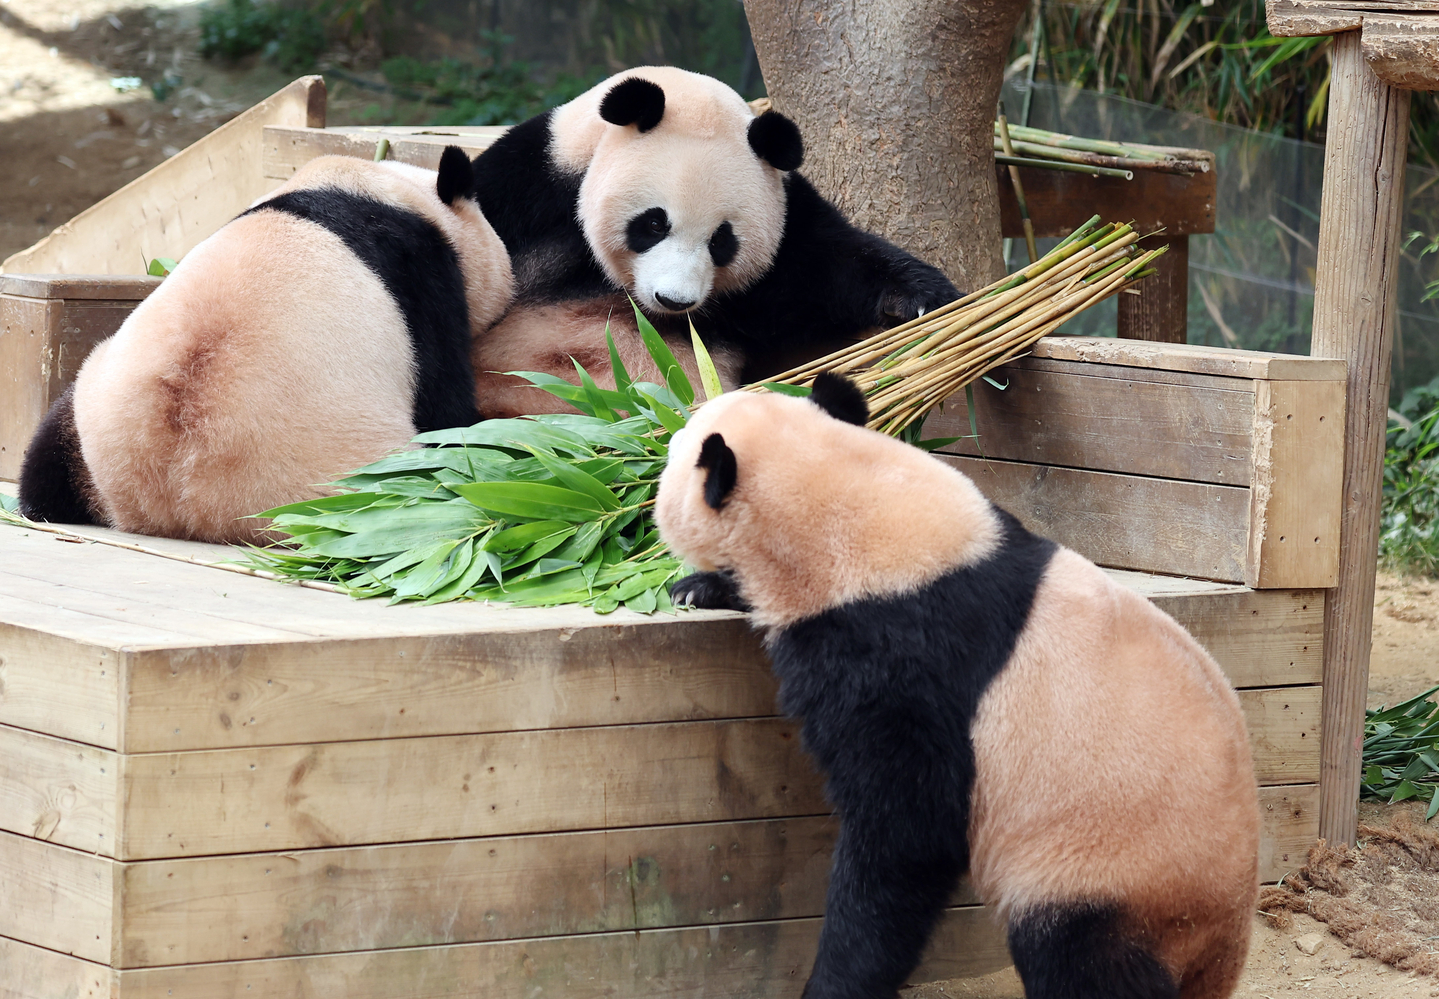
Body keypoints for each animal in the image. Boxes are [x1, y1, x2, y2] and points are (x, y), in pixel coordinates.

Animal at [17, 147, 513, 544]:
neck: (378, 188)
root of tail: (180, 503)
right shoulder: (423, 277)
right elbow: (444, 404)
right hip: (357, 483)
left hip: (91, 417)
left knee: (47, 457)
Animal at [467, 67, 960, 419]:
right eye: (653, 224)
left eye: (722, 241)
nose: (673, 300)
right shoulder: (530, 189)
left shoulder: (786, 231)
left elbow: (834, 265)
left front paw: (921, 299)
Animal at [654, 375, 1261, 999]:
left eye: (674, 450)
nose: (661, 447)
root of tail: (1223, 947)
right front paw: (700, 587)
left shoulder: (904, 660)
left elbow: (907, 835)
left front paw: (835, 982)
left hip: (1111, 871)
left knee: (1082, 959)